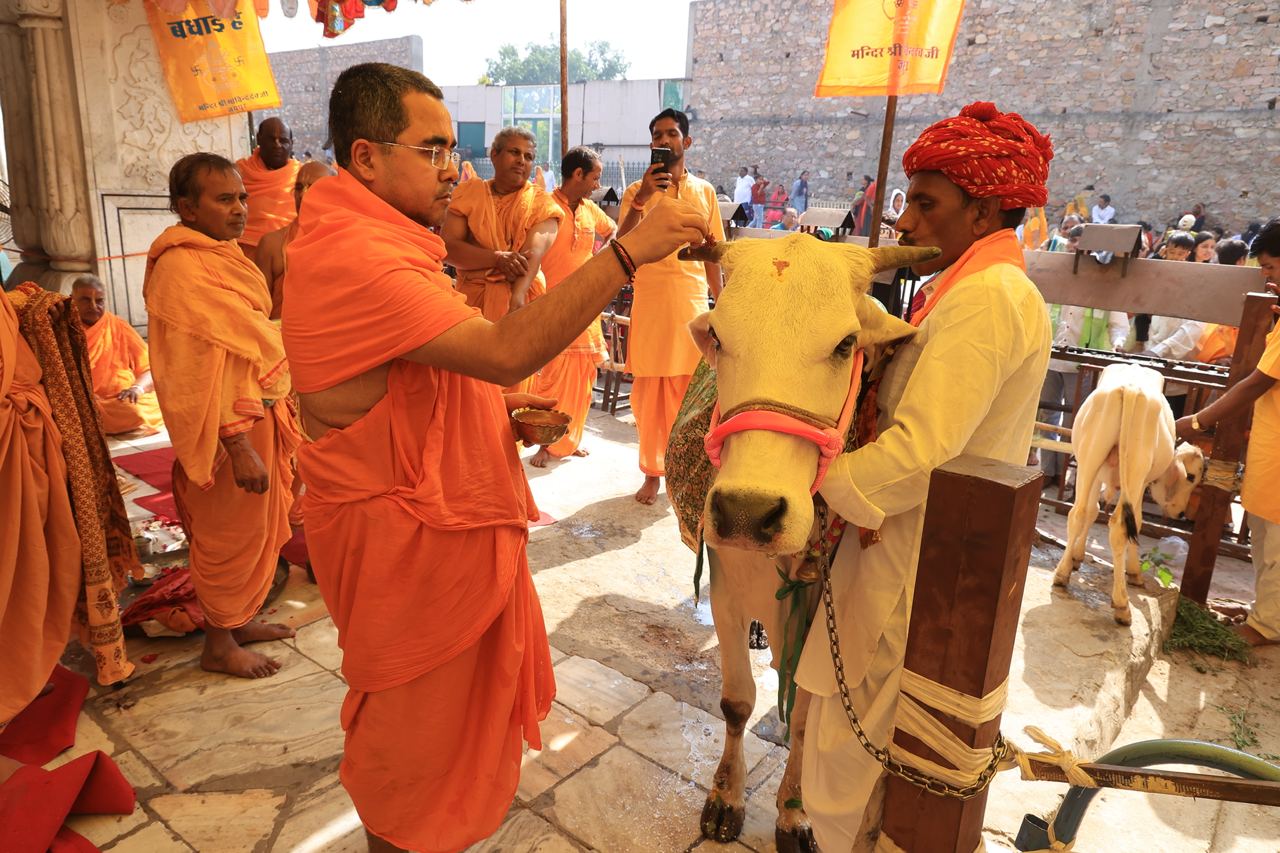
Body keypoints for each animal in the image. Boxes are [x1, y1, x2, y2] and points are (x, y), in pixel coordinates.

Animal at [675, 233, 936, 850]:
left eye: (846, 344)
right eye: (719, 336)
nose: (747, 512)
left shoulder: (819, 618)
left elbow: (801, 718)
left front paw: (793, 814)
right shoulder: (725, 591)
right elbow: (736, 702)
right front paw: (725, 796)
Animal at [1054, 361, 1203, 622]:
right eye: (1192, 478)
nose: (1182, 513)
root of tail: (1130, 388)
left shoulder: (1095, 473)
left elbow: (1091, 511)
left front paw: (1075, 557)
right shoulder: (1142, 483)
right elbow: (1138, 521)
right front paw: (1134, 572)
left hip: (1090, 457)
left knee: (1078, 513)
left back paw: (1061, 575)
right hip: (1134, 472)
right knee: (1120, 526)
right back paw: (1121, 604)